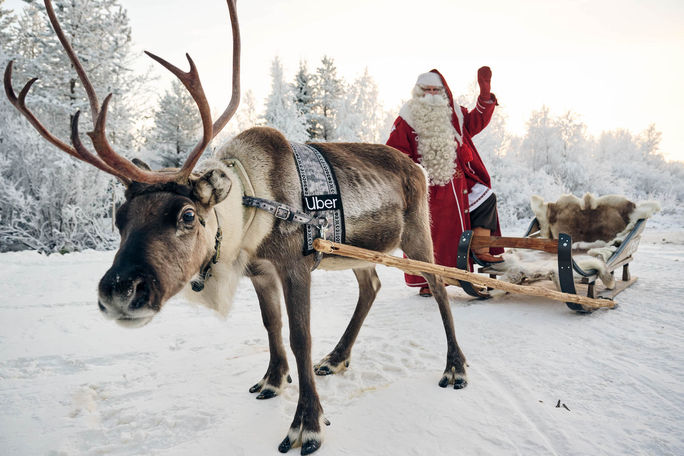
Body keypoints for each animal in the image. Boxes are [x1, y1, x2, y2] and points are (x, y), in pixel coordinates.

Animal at [4, 1, 468, 454]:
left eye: (187, 215)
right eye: (119, 218)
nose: (120, 290)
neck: (249, 199)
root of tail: (418, 166)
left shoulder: (295, 265)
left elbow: (300, 336)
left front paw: (307, 424)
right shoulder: (259, 271)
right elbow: (271, 325)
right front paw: (272, 380)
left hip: (417, 233)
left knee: (439, 284)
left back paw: (455, 367)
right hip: (354, 251)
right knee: (371, 284)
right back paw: (337, 358)